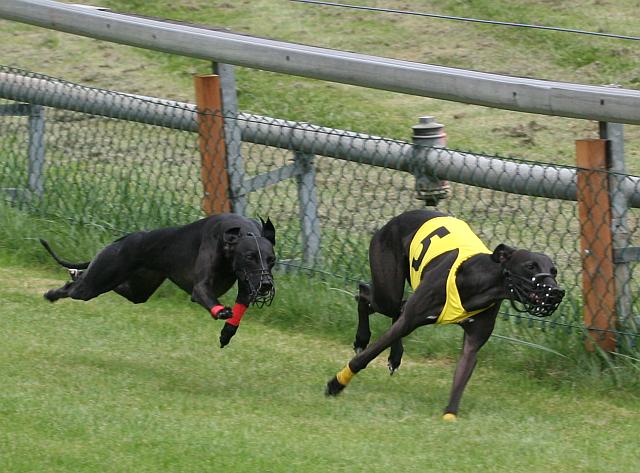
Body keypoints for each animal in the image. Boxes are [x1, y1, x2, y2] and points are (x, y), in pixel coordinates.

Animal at [40, 213, 276, 348]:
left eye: (272, 260)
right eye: (250, 257)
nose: (266, 285)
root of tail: (123, 239)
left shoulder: (247, 284)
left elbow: (240, 307)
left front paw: (226, 334)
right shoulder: (201, 287)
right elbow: (204, 294)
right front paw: (221, 311)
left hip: (137, 289)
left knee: (113, 287)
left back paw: (76, 272)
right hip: (97, 282)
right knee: (73, 288)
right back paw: (53, 293)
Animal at [325, 209, 564, 420]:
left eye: (554, 271)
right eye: (530, 266)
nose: (556, 292)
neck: (479, 281)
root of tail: (394, 220)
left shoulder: (472, 342)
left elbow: (461, 375)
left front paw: (450, 415)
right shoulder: (411, 319)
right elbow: (366, 357)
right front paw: (336, 384)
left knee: (396, 307)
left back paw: (394, 356)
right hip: (387, 289)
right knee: (366, 293)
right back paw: (362, 338)